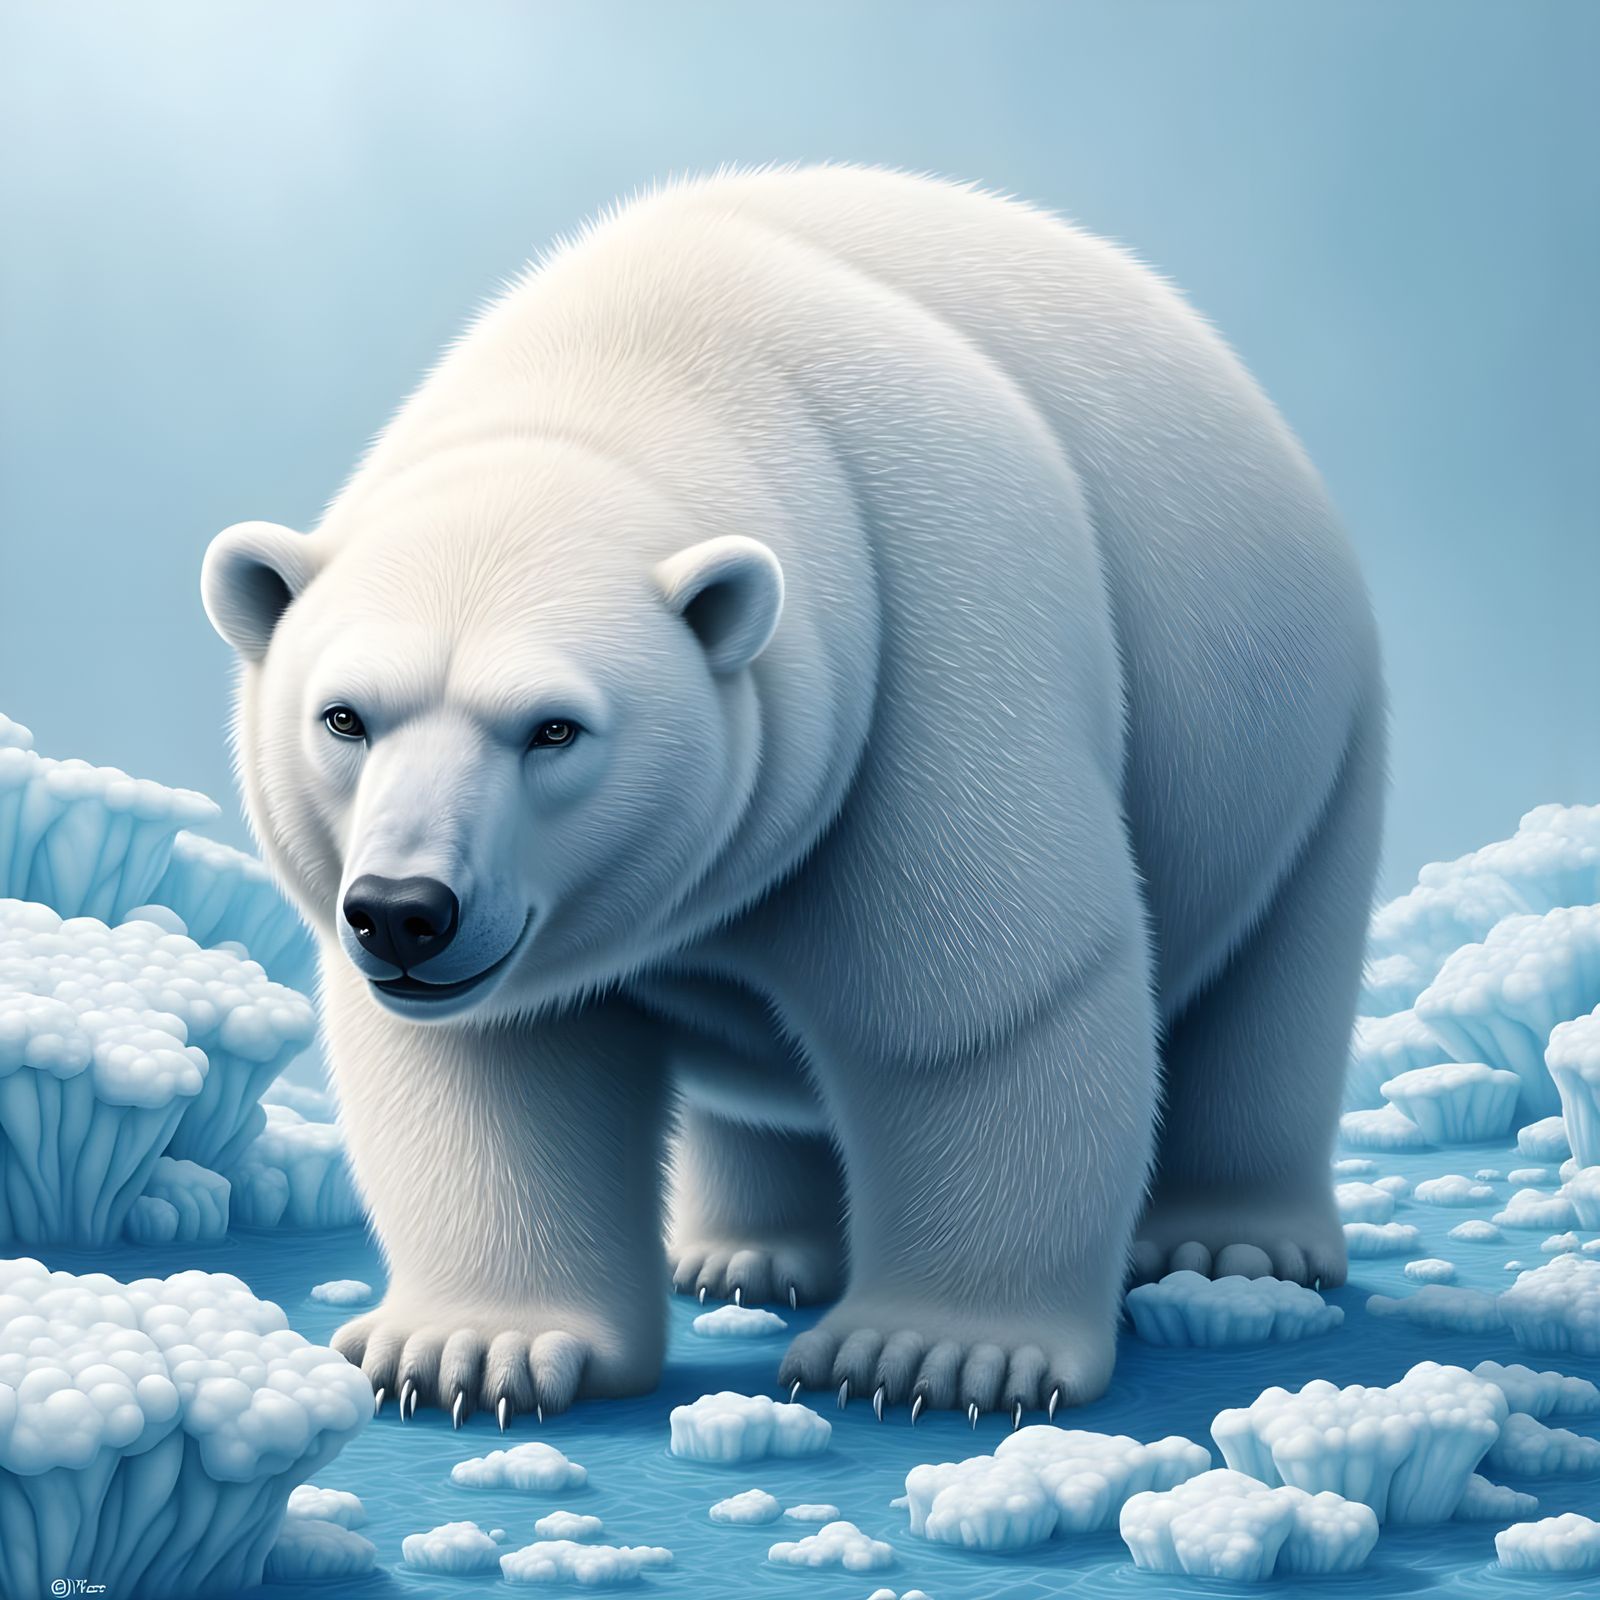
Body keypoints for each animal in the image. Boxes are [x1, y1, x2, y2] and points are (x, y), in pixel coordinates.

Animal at [202, 166, 1383, 1425]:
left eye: (554, 728)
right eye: (345, 716)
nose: (402, 911)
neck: (640, 367)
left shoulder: (929, 657)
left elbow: (986, 1007)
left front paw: (936, 1356)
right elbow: (498, 1062)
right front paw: (471, 1347)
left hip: (1293, 730)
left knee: (1271, 980)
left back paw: (1231, 1244)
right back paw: (743, 1253)